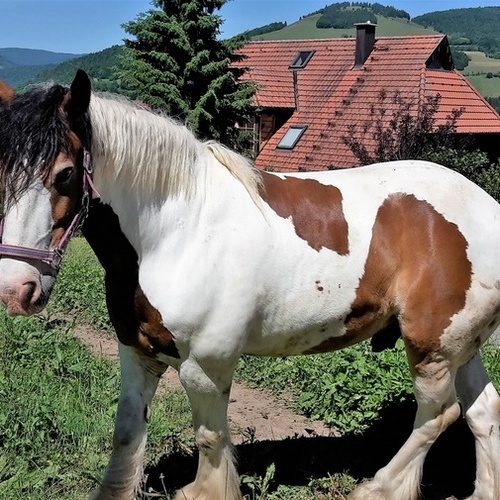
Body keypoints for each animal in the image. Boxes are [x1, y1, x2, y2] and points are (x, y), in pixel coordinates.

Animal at [0, 71, 498, 500]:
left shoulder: (205, 366)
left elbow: (210, 440)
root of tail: (487, 207)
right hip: (461, 345)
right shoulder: (137, 352)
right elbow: (126, 432)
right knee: (483, 412)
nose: (16, 290)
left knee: (439, 415)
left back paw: (377, 488)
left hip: (432, 346)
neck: (176, 228)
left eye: (65, 173)